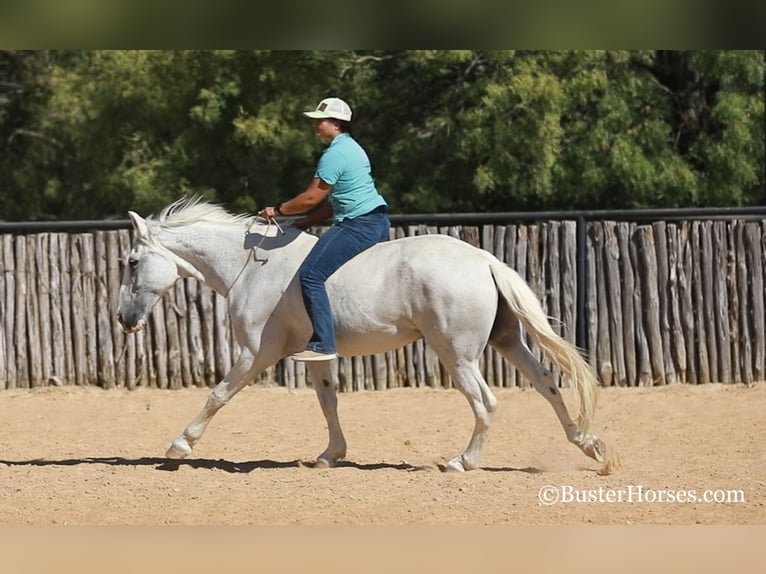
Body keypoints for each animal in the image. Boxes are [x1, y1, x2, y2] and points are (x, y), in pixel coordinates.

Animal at [117, 198, 608, 472]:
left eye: (131, 262)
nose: (123, 319)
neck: (251, 265)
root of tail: (485, 260)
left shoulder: (255, 352)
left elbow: (218, 395)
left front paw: (179, 445)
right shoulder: (317, 356)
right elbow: (329, 401)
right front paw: (331, 455)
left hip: (458, 354)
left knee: (486, 402)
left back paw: (462, 462)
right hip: (506, 342)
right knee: (548, 385)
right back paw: (590, 447)